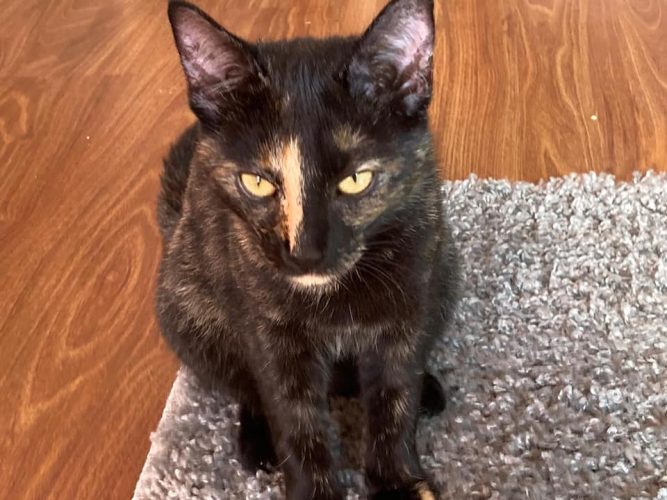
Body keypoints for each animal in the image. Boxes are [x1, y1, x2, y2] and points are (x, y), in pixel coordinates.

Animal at [156, 0, 460, 498]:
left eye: (356, 180)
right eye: (257, 183)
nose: (305, 253)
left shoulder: (410, 299)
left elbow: (394, 395)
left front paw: (396, 481)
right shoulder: (268, 330)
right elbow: (293, 415)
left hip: (446, 273)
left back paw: (427, 390)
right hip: (186, 305)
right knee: (242, 383)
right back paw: (256, 440)